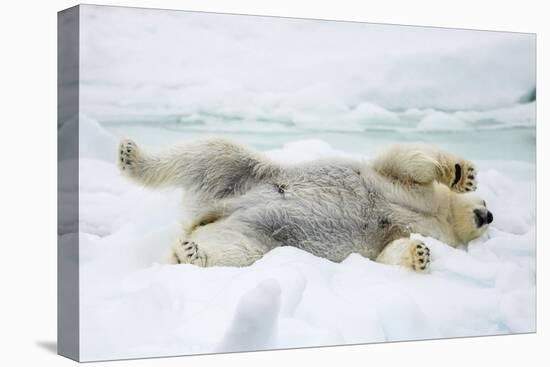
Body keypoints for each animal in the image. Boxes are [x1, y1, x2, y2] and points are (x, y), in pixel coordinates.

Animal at [117, 139, 496, 272]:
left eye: (489, 210)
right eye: (486, 200)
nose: (488, 214)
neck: (439, 215)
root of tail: (206, 215)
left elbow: (387, 251)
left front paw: (419, 254)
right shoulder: (406, 187)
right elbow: (406, 161)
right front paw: (464, 173)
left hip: (255, 235)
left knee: (237, 250)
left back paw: (190, 253)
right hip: (242, 176)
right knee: (210, 153)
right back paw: (130, 155)